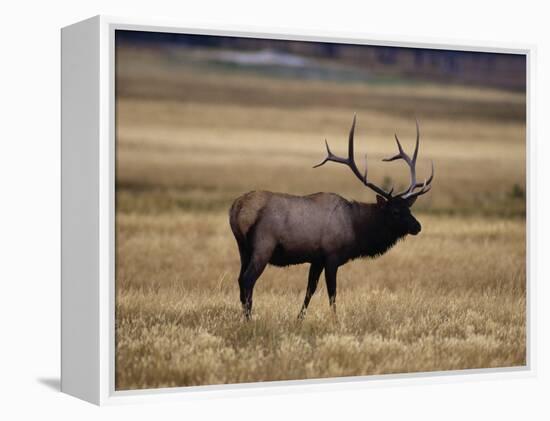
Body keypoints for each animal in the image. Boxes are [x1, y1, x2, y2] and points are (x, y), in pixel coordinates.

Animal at [230, 114, 436, 318]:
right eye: (395, 211)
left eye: (409, 209)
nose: (417, 226)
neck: (356, 229)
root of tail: (237, 209)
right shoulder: (332, 255)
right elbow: (332, 292)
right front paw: (334, 319)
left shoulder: (316, 259)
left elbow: (310, 289)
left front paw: (299, 318)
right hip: (263, 245)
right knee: (248, 280)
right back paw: (249, 318)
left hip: (243, 248)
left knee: (240, 280)